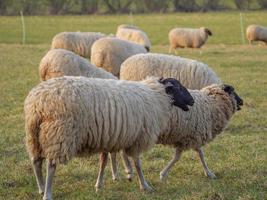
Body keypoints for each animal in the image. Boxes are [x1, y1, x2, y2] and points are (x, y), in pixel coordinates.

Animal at [24, 76, 195, 199]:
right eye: (179, 87)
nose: (192, 100)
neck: (155, 96)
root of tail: (38, 102)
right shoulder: (137, 138)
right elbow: (138, 164)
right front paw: (145, 185)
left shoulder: (110, 137)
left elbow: (104, 161)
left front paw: (100, 184)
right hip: (59, 134)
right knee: (51, 165)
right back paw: (47, 193)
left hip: (34, 135)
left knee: (36, 162)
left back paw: (40, 188)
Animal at [110, 83, 244, 182]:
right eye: (233, 91)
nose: (242, 101)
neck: (212, 104)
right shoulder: (190, 137)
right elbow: (178, 158)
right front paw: (162, 174)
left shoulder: (193, 136)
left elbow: (200, 154)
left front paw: (208, 172)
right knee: (120, 152)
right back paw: (126, 172)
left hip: (121, 131)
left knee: (114, 152)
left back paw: (116, 175)